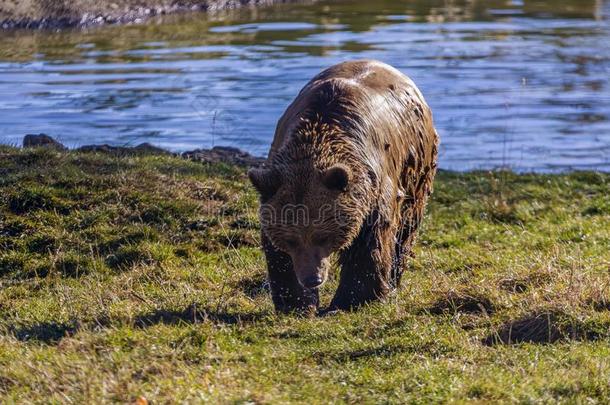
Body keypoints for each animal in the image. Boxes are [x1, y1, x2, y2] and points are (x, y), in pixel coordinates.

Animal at [247, 60, 436, 312]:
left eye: (322, 236)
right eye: (291, 239)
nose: (312, 278)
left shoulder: (374, 187)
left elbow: (370, 243)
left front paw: (354, 299)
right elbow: (279, 256)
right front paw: (296, 303)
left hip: (417, 165)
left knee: (407, 227)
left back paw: (394, 279)